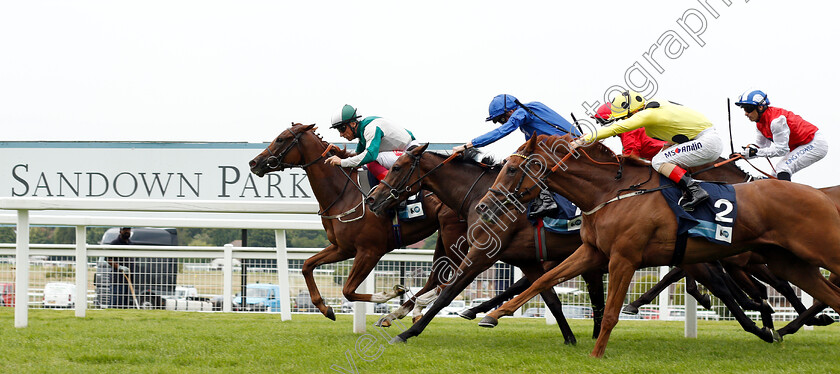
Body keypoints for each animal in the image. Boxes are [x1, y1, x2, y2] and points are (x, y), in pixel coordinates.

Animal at [248, 123, 466, 322]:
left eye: (281, 139)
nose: (253, 162)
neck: (344, 194)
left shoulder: (370, 251)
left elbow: (348, 290)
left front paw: (389, 294)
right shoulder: (343, 248)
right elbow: (307, 265)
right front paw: (325, 308)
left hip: (453, 235)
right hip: (443, 236)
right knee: (435, 277)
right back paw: (404, 313)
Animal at [476, 136, 840, 358]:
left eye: (511, 168)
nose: (483, 206)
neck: (611, 192)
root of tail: (822, 195)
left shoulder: (624, 258)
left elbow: (611, 312)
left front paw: (596, 354)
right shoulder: (593, 252)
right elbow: (542, 280)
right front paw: (492, 315)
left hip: (820, 252)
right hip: (790, 262)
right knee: (826, 295)